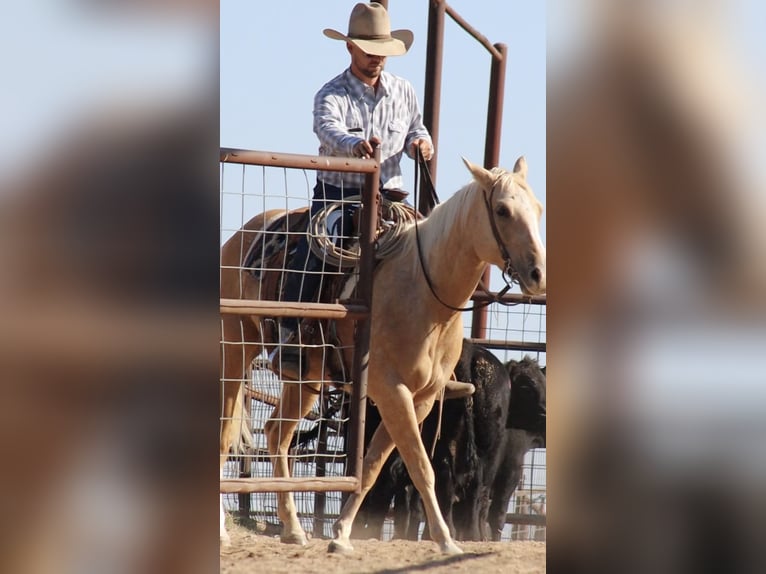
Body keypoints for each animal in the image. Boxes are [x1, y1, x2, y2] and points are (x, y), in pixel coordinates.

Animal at [219, 156, 548, 552]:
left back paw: (293, 528)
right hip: (236, 348)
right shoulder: (392, 391)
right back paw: (223, 530)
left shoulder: (421, 399)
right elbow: (420, 466)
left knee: (276, 435)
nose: (538, 274)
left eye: (538, 209)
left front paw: (342, 533)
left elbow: (375, 464)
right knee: (226, 433)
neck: (424, 294)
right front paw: (445, 540)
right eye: (502, 210)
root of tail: (242, 235)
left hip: (307, 378)